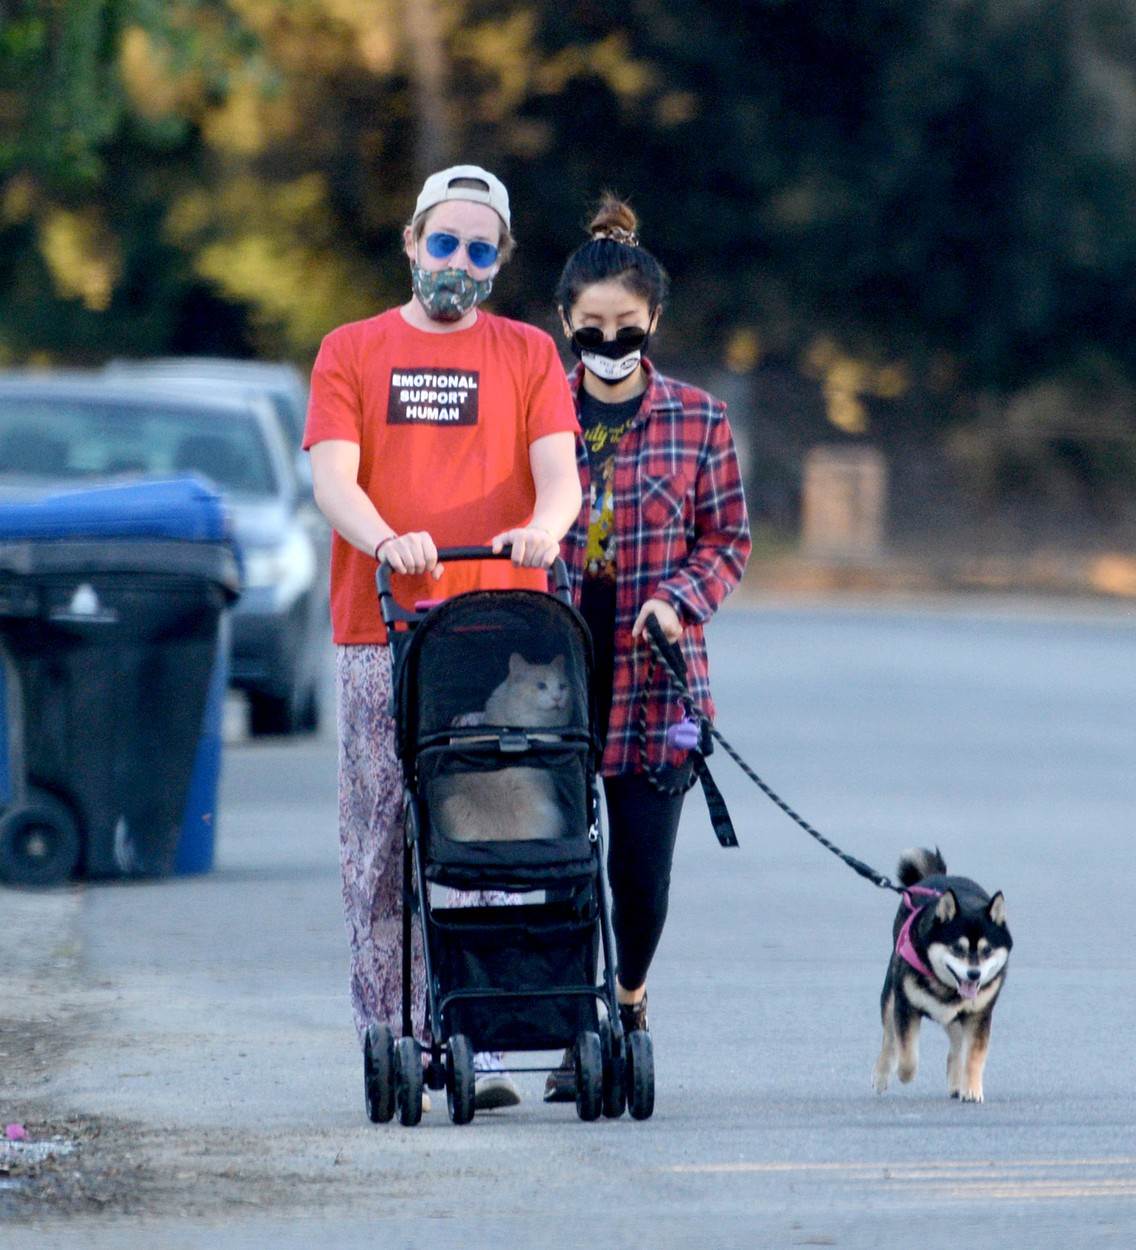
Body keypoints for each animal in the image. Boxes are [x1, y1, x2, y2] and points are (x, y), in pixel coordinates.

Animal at [874, 850, 1004, 1105]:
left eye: (987, 950)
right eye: (957, 949)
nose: (974, 974)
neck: (945, 987)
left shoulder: (979, 1014)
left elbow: (974, 1055)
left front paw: (972, 1089)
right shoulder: (905, 1006)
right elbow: (906, 1052)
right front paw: (904, 1074)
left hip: (955, 1016)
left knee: (956, 1044)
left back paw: (956, 1082)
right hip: (891, 995)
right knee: (889, 1039)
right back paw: (882, 1075)